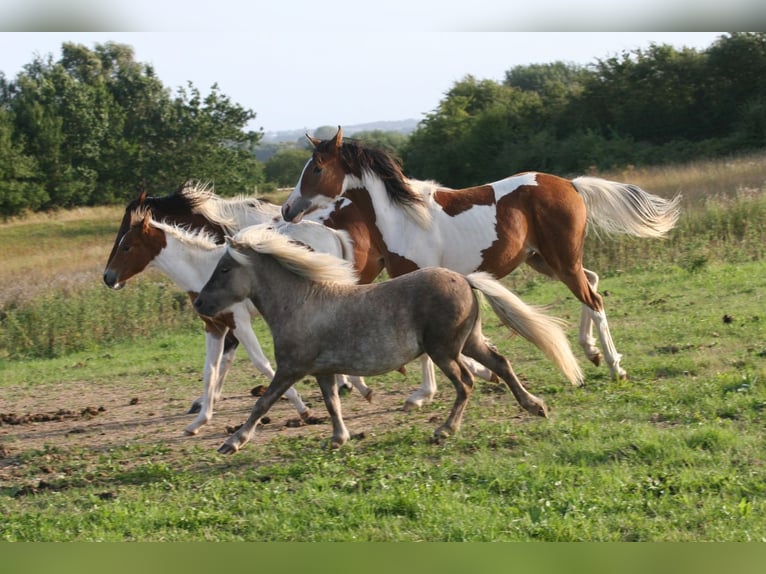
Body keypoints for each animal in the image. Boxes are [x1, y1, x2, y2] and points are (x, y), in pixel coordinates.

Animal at [192, 225, 584, 454]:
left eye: (224, 268)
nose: (199, 303)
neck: (301, 303)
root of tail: (464, 279)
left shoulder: (291, 368)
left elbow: (263, 403)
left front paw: (231, 442)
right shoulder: (322, 370)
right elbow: (332, 403)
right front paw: (338, 438)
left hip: (443, 350)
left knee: (466, 383)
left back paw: (444, 430)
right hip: (468, 342)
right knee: (501, 363)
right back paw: (534, 405)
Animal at [282, 127, 684, 402]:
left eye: (316, 168)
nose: (287, 209)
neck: (403, 218)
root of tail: (571, 184)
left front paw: (421, 395)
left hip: (562, 260)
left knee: (594, 300)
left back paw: (615, 366)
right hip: (545, 261)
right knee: (593, 282)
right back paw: (592, 353)